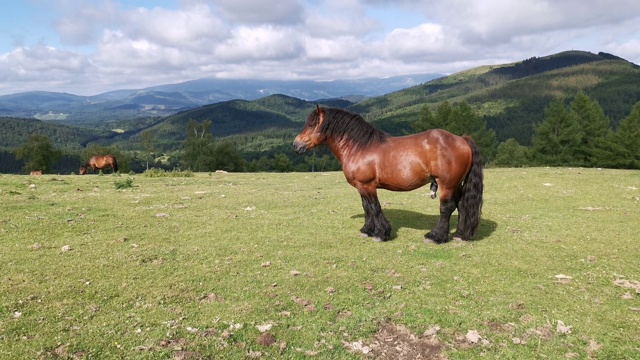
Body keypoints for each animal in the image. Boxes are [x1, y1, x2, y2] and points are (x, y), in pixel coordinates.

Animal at [292, 105, 482, 243]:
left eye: (311, 125)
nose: (296, 144)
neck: (359, 147)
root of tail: (462, 140)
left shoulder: (368, 185)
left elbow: (375, 208)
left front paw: (381, 233)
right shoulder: (361, 187)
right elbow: (366, 207)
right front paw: (367, 230)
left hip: (446, 184)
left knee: (446, 208)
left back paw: (435, 236)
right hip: (455, 184)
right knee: (462, 204)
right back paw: (460, 234)